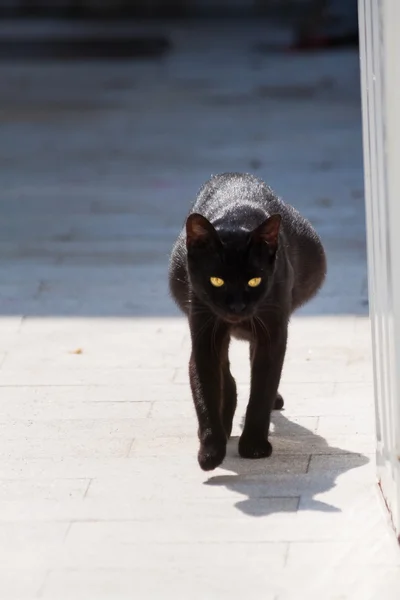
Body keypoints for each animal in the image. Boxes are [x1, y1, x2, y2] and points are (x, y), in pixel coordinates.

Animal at [168, 171, 324, 472]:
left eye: (254, 280)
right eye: (216, 280)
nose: (237, 306)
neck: (235, 217)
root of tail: (233, 174)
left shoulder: (273, 333)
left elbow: (262, 388)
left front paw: (254, 446)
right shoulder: (203, 333)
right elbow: (205, 389)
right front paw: (211, 450)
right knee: (225, 373)